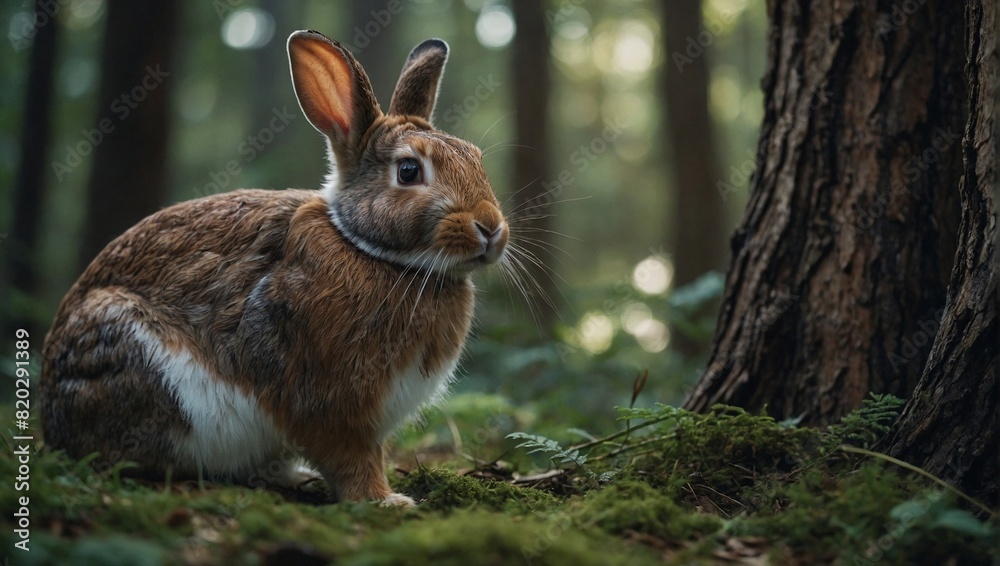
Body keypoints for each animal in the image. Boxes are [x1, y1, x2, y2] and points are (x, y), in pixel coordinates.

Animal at [40, 29, 509, 507]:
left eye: (475, 158)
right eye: (409, 170)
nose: (491, 228)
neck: (368, 248)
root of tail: (51, 416)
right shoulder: (331, 406)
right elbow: (354, 458)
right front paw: (386, 501)